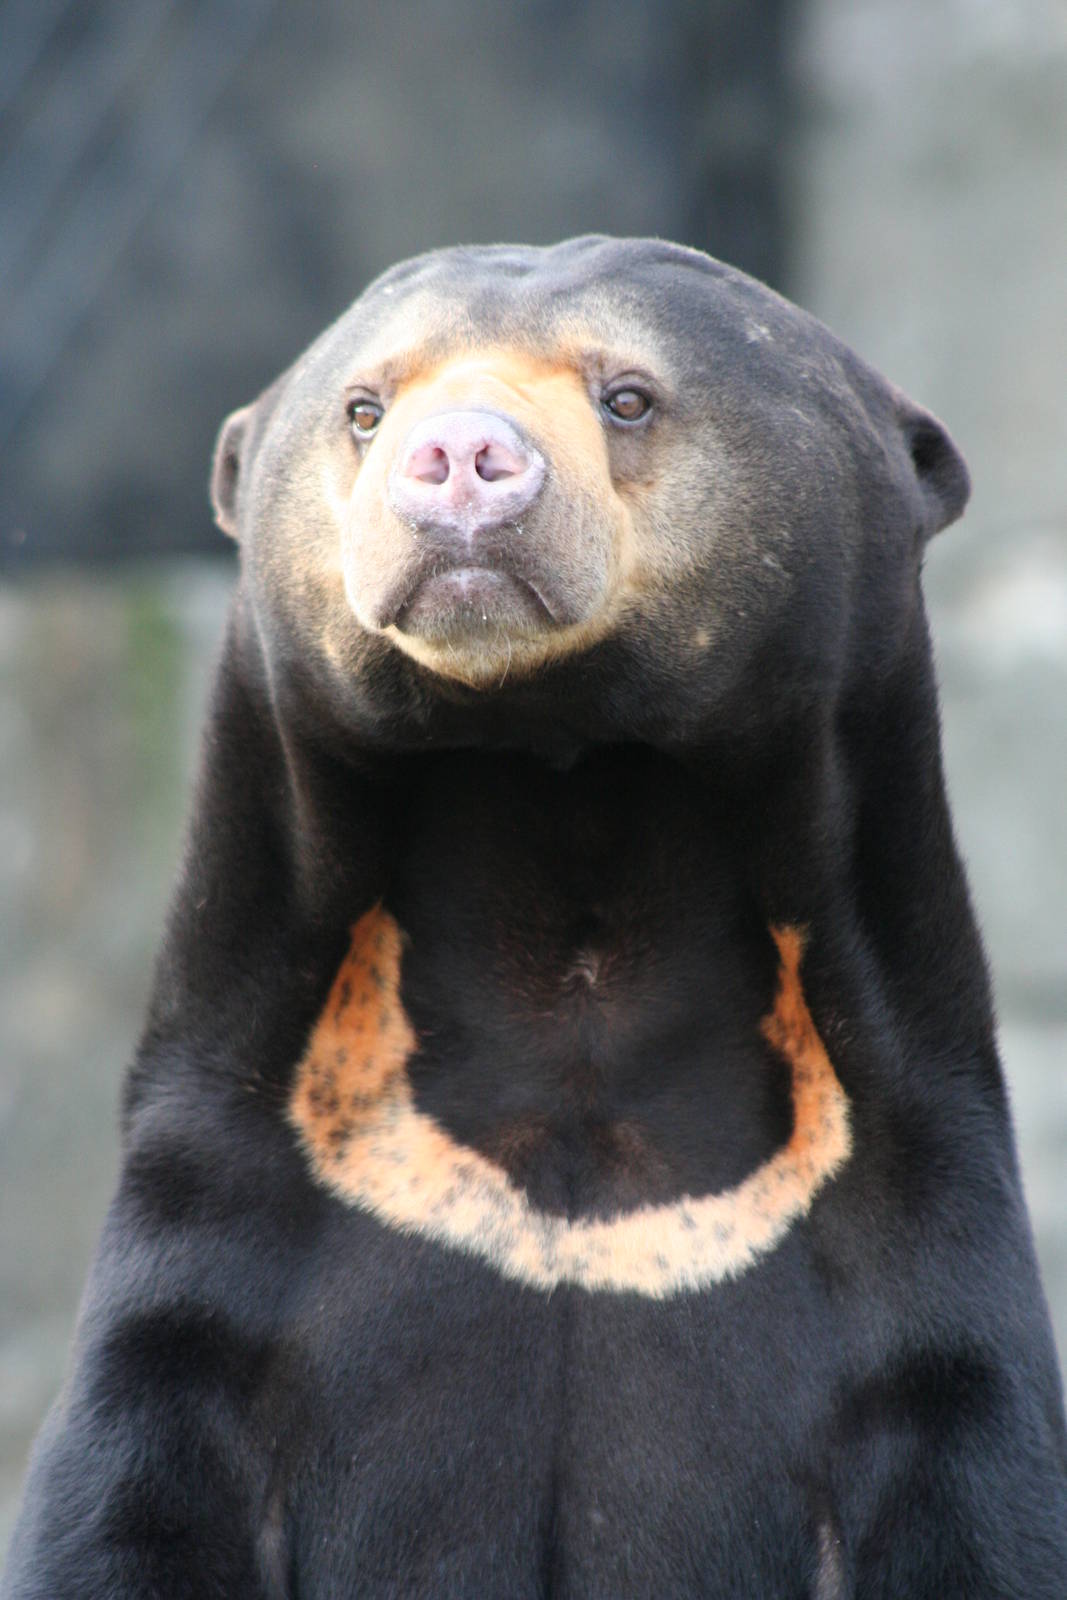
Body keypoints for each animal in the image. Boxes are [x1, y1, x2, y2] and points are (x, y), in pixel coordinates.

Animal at [4, 235, 1066, 1598]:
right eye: (365, 407)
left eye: (627, 396)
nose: (459, 456)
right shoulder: (214, 1228)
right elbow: (123, 1500)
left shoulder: (914, 1230)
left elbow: (978, 1505)